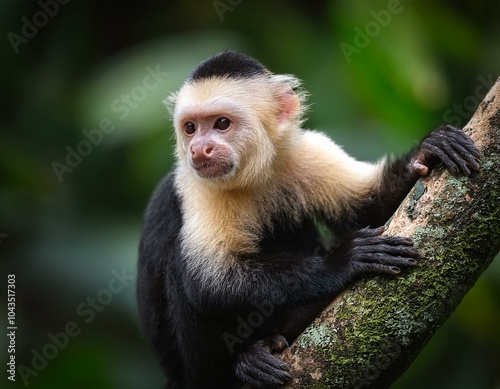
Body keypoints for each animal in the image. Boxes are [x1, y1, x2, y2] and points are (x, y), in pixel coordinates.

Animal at [138, 51, 480, 388]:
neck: (255, 173)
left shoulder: (306, 151)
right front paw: (341, 262)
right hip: (193, 374)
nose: (198, 149)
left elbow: (370, 207)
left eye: (221, 123)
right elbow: (208, 282)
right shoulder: (197, 187)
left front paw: (426, 152)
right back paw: (243, 365)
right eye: (190, 128)